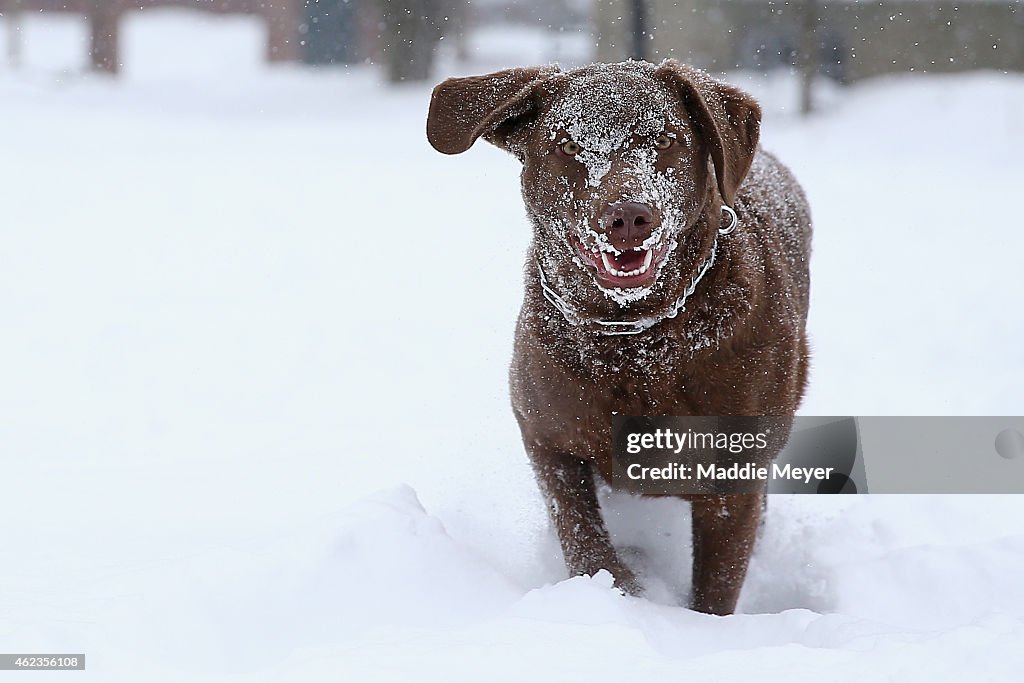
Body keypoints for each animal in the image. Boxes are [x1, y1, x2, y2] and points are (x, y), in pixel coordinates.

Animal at [423, 60, 806, 614]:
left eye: (665, 139)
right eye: (564, 144)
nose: (627, 216)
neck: (636, 340)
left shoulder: (734, 477)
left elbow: (717, 584)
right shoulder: (546, 434)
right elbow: (580, 531)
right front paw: (618, 591)